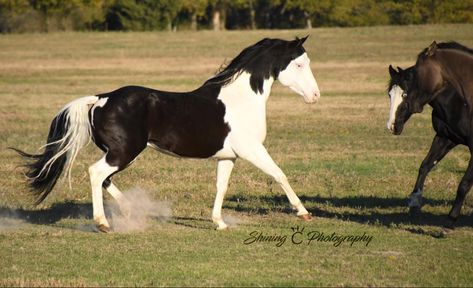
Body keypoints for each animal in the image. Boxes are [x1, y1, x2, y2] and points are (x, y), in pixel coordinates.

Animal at [12, 37, 318, 233]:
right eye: (299, 64)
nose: (315, 96)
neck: (241, 99)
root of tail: (101, 98)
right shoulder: (251, 149)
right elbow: (279, 174)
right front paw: (303, 212)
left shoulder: (228, 157)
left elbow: (221, 187)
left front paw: (219, 223)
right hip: (124, 152)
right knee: (96, 173)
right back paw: (103, 224)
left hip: (119, 153)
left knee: (105, 179)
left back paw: (133, 212)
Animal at [388, 41, 472, 225]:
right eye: (389, 94)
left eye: (405, 93)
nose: (392, 125)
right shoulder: (446, 138)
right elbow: (425, 166)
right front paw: (414, 202)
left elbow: (464, 184)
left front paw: (450, 220)